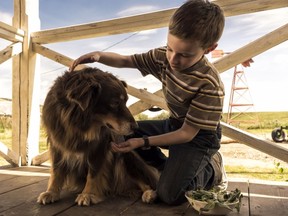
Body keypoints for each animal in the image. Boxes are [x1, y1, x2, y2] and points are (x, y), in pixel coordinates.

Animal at [37, 67, 159, 206]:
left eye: (126, 101)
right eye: (115, 103)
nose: (136, 127)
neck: (78, 124)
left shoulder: (100, 147)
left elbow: (94, 172)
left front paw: (88, 194)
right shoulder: (57, 145)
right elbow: (56, 171)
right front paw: (51, 192)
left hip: (126, 157)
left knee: (145, 181)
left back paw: (149, 193)